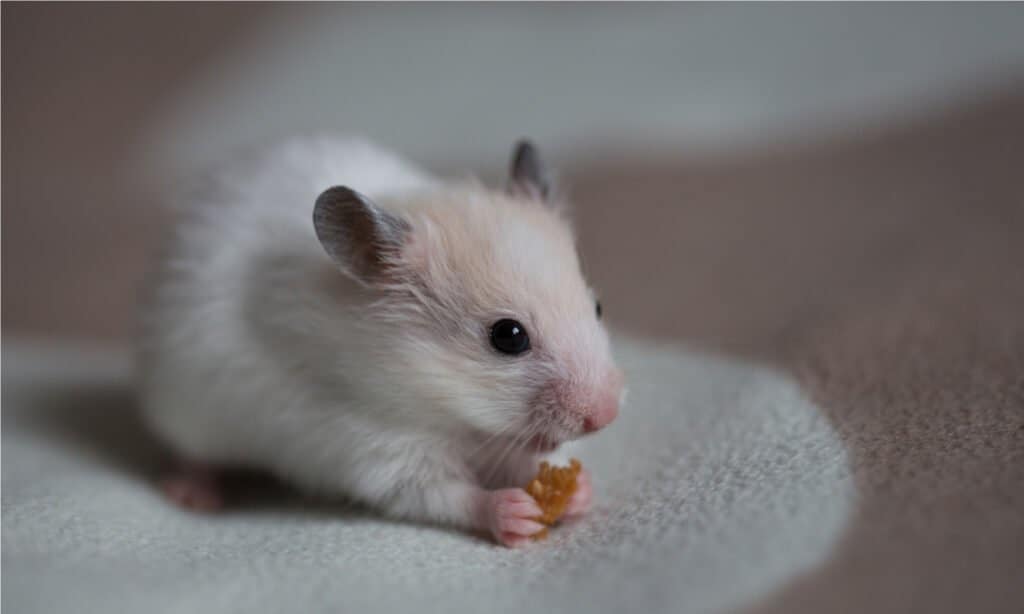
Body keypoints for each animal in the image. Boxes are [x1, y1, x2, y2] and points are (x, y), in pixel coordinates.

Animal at [138, 139, 622, 548]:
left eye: (598, 307)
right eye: (508, 336)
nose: (606, 416)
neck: (448, 416)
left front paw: (580, 492)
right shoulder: (369, 448)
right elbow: (441, 494)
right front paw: (515, 512)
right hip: (185, 409)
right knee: (187, 453)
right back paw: (194, 495)